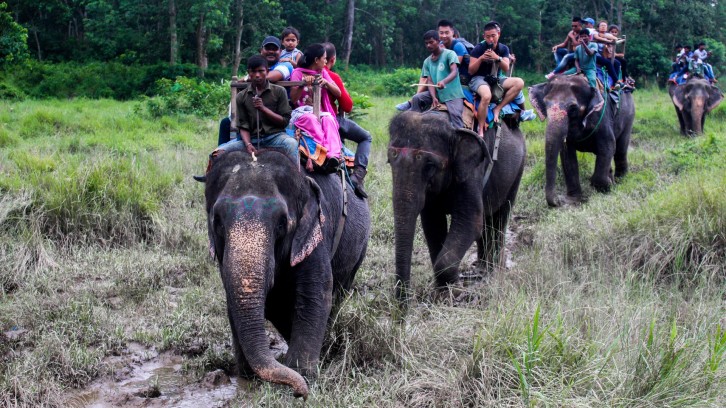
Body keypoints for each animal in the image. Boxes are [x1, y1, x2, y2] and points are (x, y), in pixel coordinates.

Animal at [202, 147, 370, 398]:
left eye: (282, 223)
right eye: (218, 222)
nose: (300, 393)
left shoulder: (316, 231)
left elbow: (315, 296)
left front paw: (302, 373)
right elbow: (243, 301)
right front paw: (248, 376)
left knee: (339, 292)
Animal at [390, 110, 528, 304]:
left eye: (430, 165)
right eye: (389, 161)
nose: (402, 307)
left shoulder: (472, 171)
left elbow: (471, 221)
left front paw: (455, 293)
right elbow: (432, 224)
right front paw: (443, 291)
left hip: (518, 170)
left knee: (500, 217)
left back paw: (494, 270)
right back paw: (481, 269)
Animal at [528, 75, 636, 207]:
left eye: (573, 108)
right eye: (545, 103)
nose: (558, 201)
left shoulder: (602, 115)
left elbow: (608, 145)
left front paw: (607, 186)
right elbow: (567, 155)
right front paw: (573, 200)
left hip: (629, 115)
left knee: (620, 149)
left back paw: (620, 180)